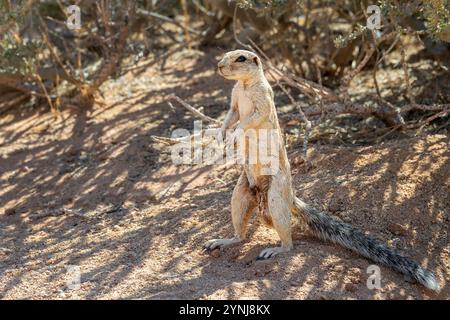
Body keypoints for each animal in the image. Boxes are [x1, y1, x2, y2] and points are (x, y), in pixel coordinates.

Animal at [205, 48, 440, 292]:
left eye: (241, 58)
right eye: (225, 54)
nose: (220, 66)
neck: (244, 85)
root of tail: (290, 196)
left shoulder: (263, 100)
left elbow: (251, 118)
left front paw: (234, 134)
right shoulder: (234, 100)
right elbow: (230, 115)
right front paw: (221, 134)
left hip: (276, 198)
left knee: (289, 243)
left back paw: (276, 249)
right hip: (240, 194)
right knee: (240, 234)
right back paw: (222, 240)